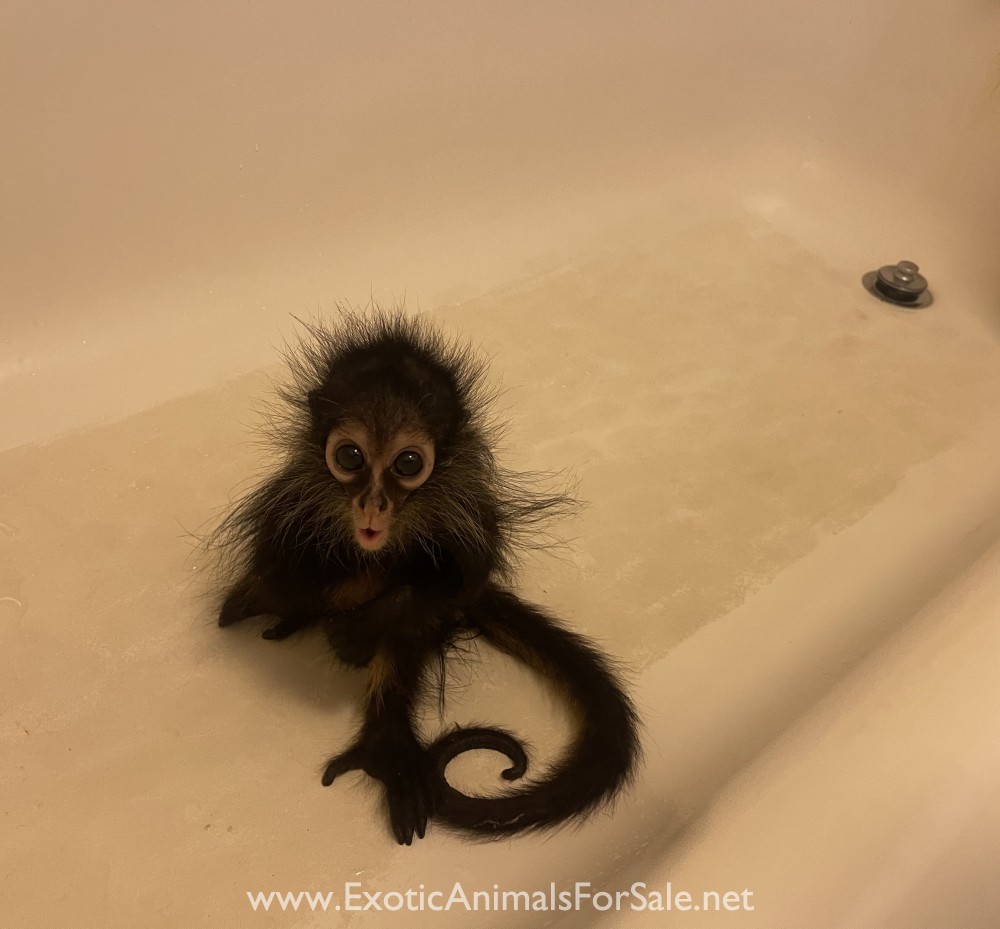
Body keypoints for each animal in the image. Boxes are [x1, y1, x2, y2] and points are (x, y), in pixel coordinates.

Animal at [210, 310, 640, 845]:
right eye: (350, 457)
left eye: (408, 463)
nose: (373, 504)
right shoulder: (291, 502)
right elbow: (282, 578)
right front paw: (327, 611)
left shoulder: (466, 505)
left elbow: (455, 584)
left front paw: (356, 630)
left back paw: (388, 743)